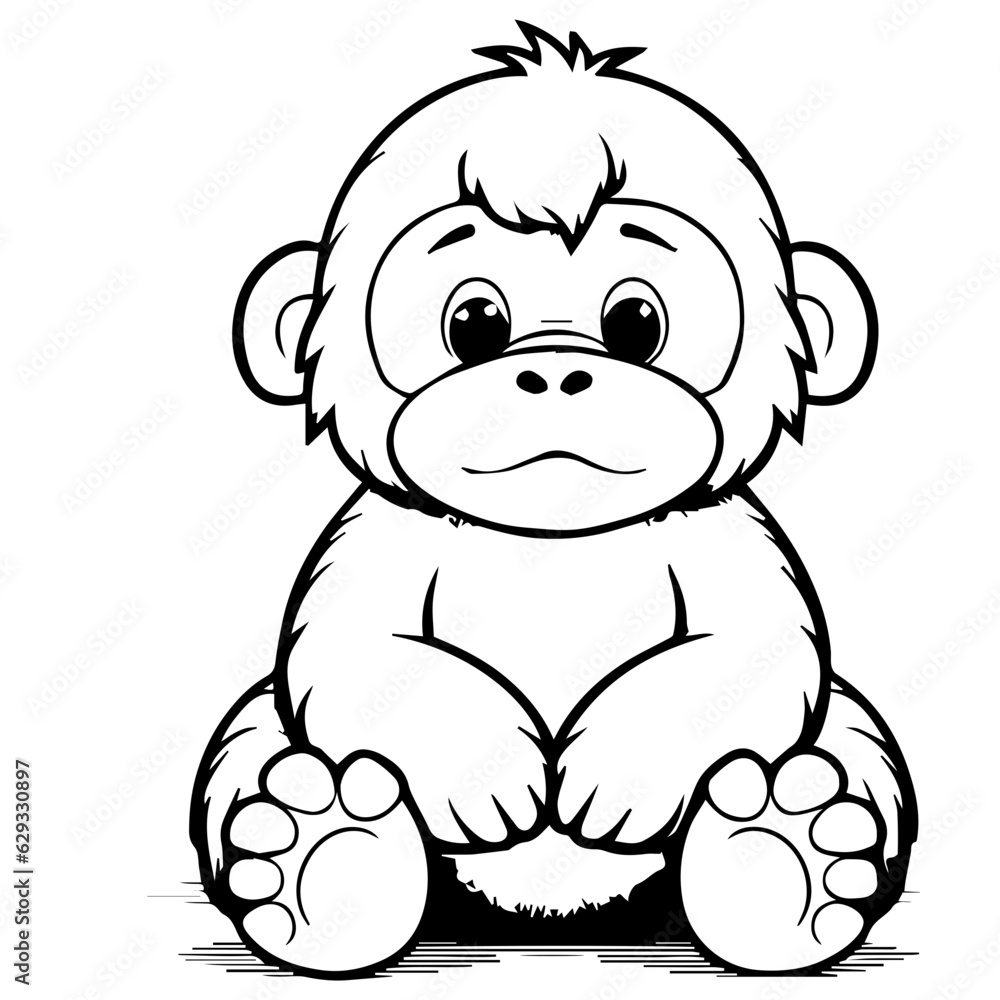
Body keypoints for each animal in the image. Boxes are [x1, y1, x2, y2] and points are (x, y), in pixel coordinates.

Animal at [190, 23, 916, 978]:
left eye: (638, 323)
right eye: (472, 324)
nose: (555, 372)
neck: (554, 539)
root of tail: (551, 916)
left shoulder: (729, 531)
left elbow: (752, 646)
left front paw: (617, 772)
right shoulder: (376, 531)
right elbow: (356, 646)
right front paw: (487, 772)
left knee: (845, 751)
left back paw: (785, 853)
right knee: (260, 750)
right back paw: (322, 853)